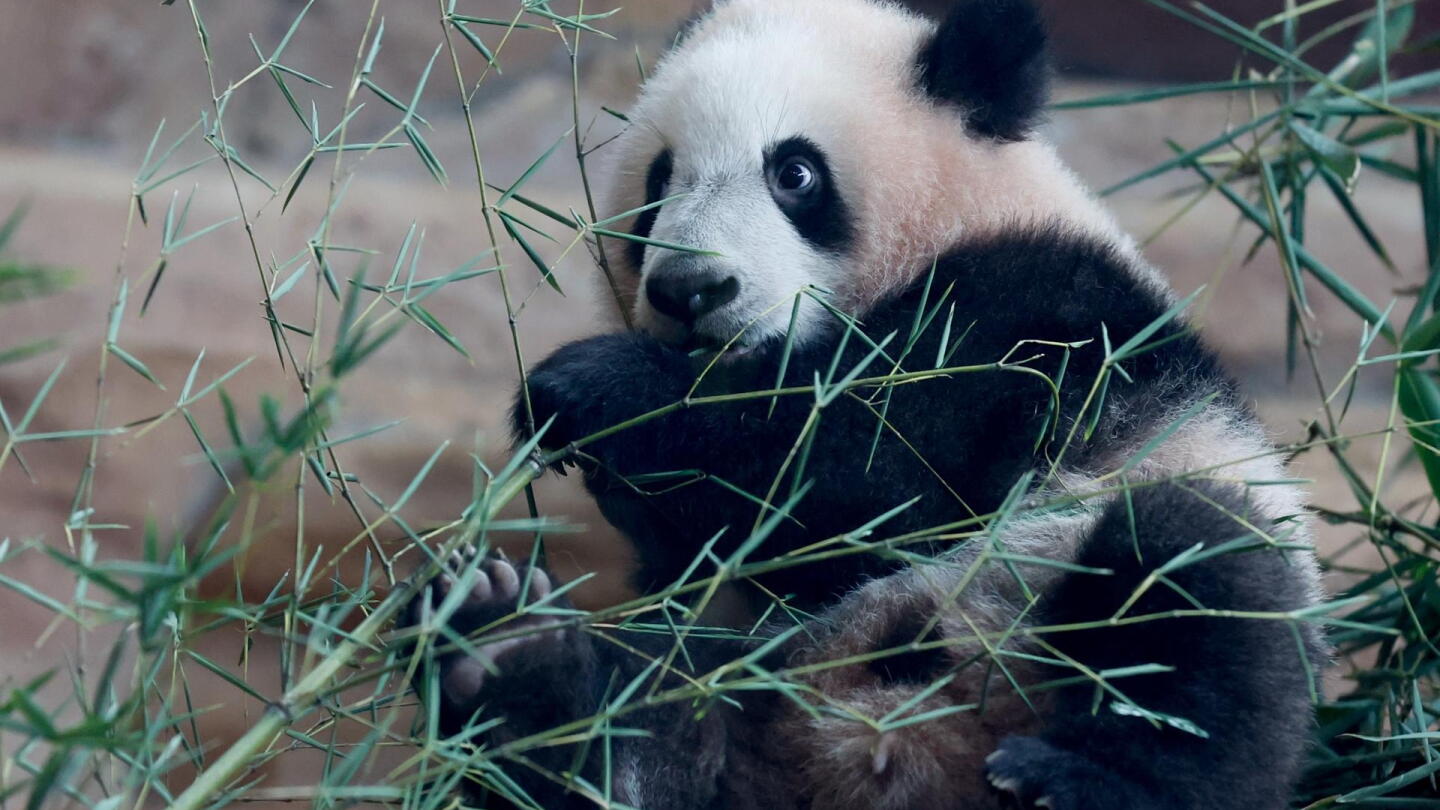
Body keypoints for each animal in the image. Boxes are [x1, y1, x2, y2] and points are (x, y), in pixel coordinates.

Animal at [400, 0, 1328, 808]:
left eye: (795, 173)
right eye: (659, 180)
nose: (690, 291)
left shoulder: (1044, 315)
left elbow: (865, 475)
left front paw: (596, 388)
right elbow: (723, 548)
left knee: (1198, 585)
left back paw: (1079, 777)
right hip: (742, 687)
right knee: (654, 711)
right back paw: (510, 662)